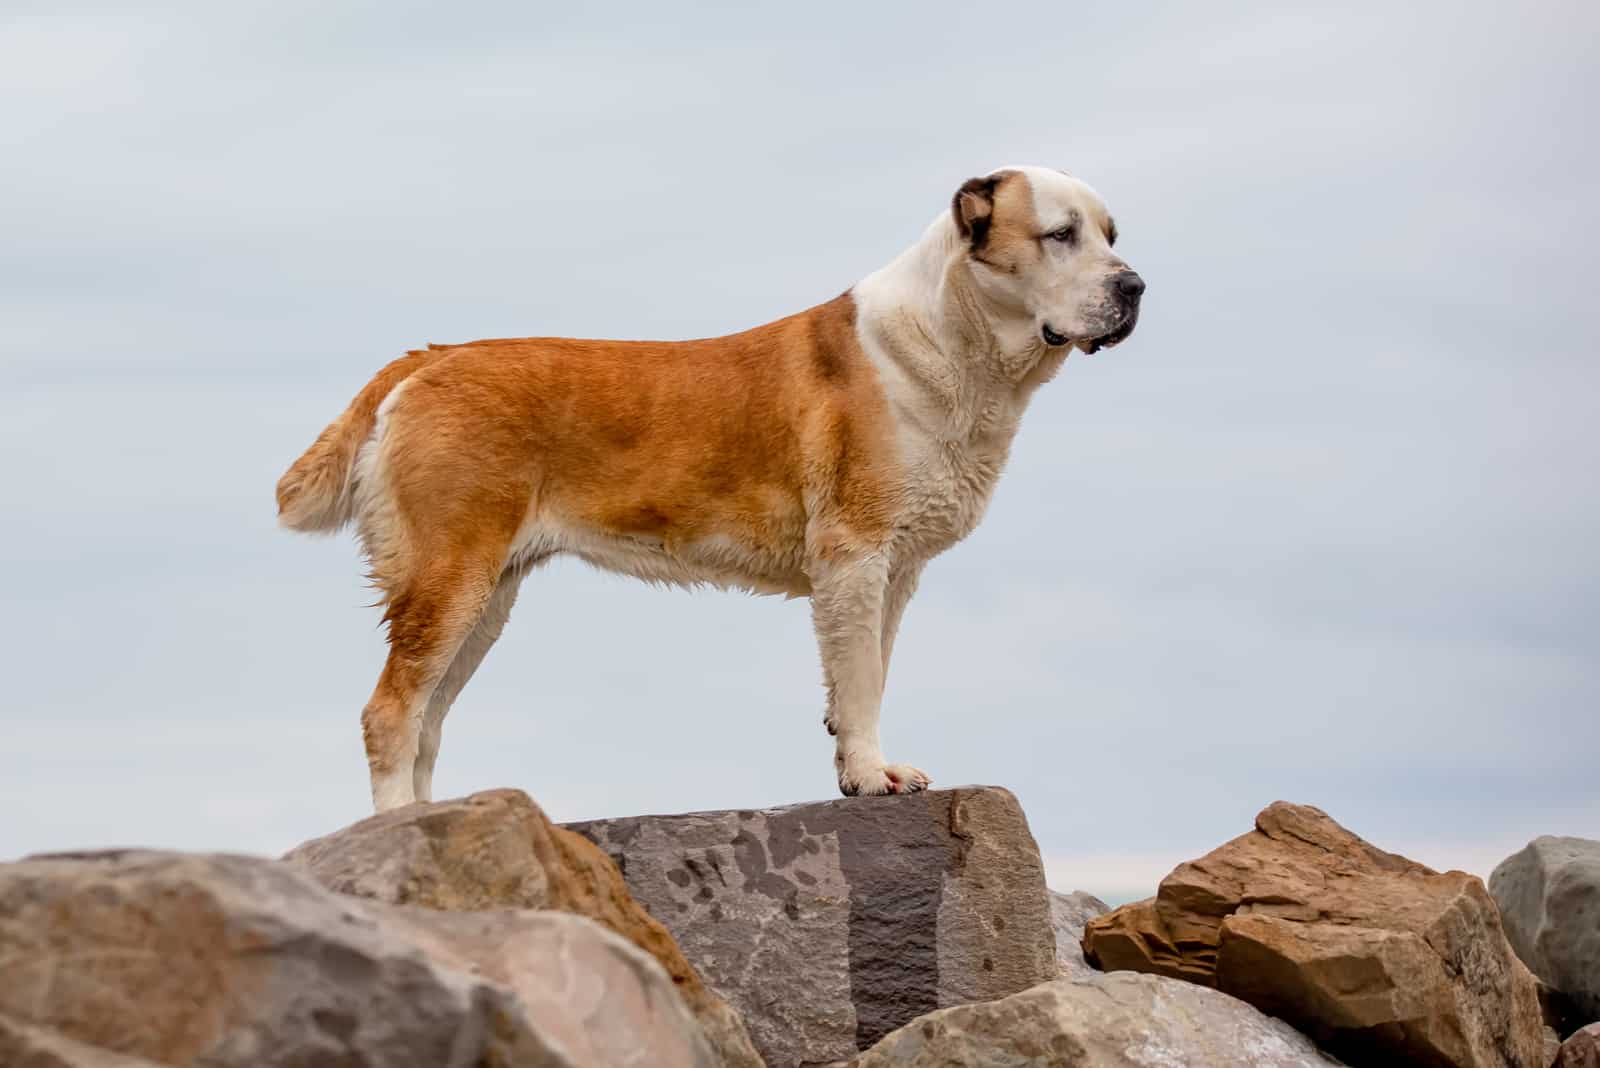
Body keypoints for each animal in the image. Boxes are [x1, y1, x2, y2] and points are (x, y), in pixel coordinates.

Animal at [281, 167, 1145, 812]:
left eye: (1110, 236)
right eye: (1059, 234)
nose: (1135, 286)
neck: (952, 339)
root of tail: (428, 358)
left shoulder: (894, 571)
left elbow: (864, 672)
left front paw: (853, 767)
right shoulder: (856, 554)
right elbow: (863, 676)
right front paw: (873, 776)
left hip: (485, 595)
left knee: (427, 721)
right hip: (449, 576)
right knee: (391, 713)